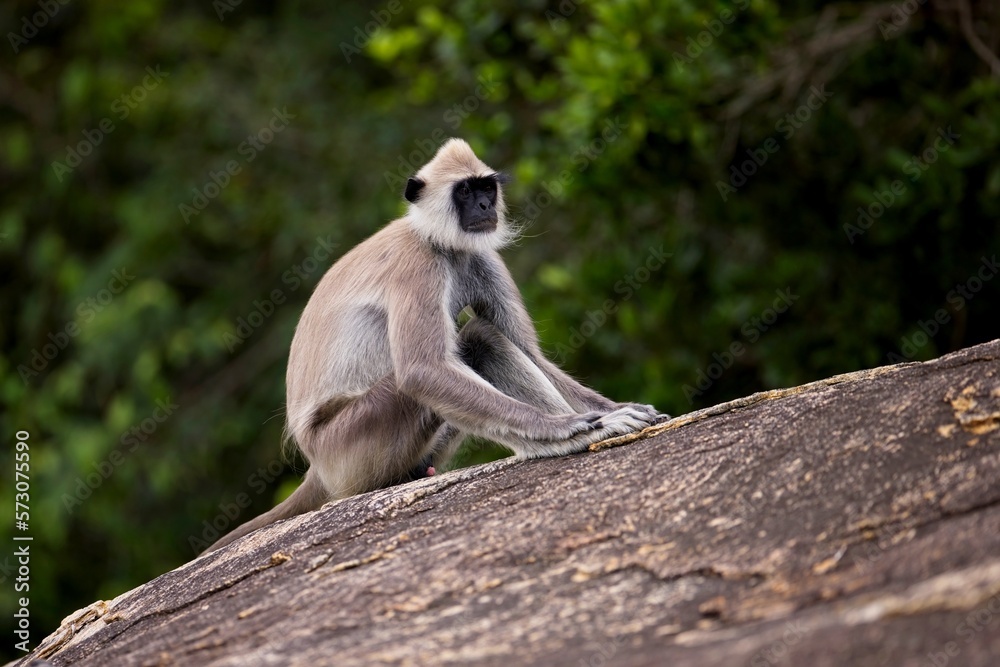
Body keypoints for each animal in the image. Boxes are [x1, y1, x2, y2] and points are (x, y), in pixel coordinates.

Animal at [204, 137, 668, 552]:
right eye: (464, 191)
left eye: (486, 189)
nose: (484, 208)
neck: (440, 243)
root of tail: (317, 466)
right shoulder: (417, 264)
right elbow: (421, 371)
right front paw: (568, 429)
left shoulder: (481, 258)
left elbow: (532, 354)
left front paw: (611, 411)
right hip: (351, 445)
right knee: (470, 342)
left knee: (483, 340)